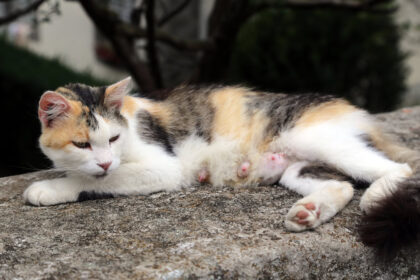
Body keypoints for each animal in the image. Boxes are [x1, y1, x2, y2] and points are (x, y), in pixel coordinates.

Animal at [23, 77, 420, 260]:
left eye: (114, 137)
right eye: (82, 144)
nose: (105, 160)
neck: (131, 119)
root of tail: (354, 111)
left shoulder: (163, 167)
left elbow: (100, 178)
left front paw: (52, 187)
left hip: (315, 136)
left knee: (400, 168)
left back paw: (377, 196)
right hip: (295, 165)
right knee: (341, 185)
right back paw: (308, 212)